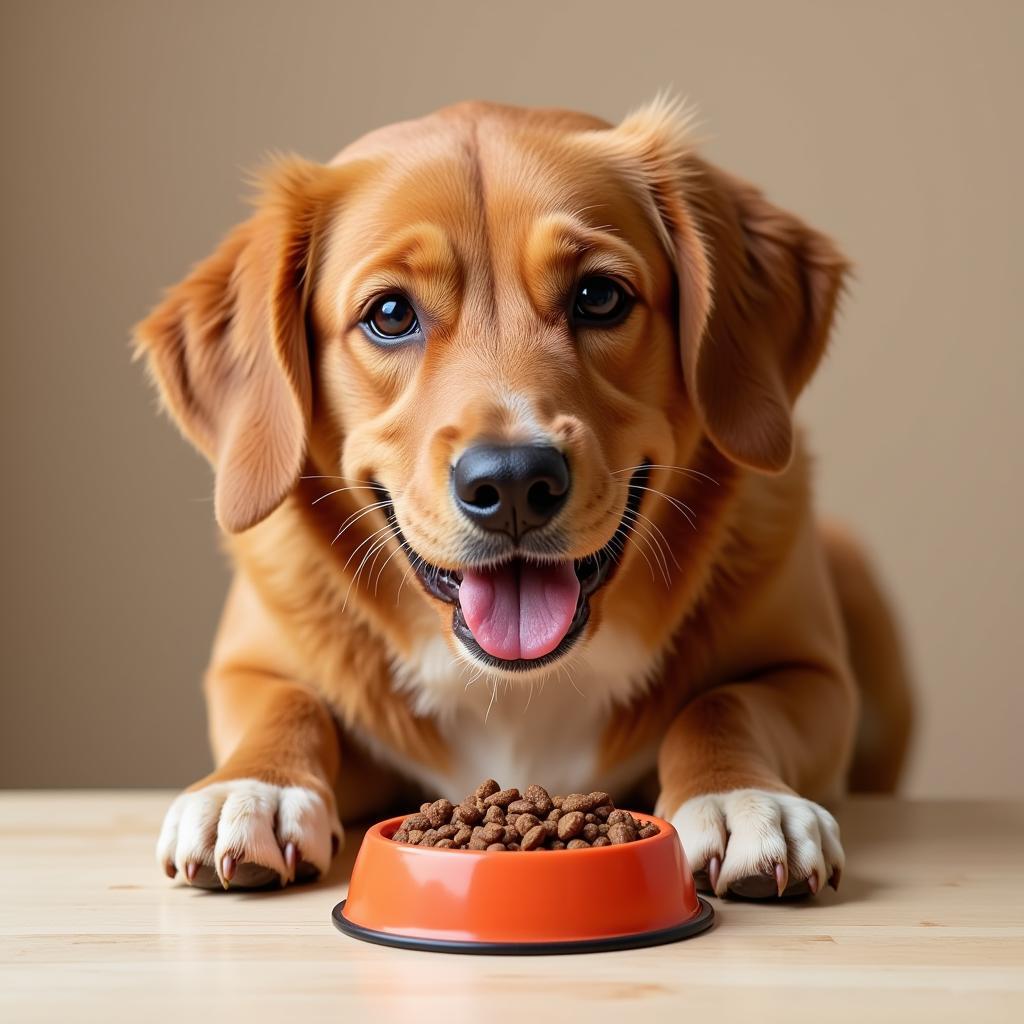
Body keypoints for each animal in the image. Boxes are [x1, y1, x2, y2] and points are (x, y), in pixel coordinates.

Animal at [136, 97, 913, 897]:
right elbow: (286, 703)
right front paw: (251, 787)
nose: (511, 481)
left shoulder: (814, 677)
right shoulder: (243, 670)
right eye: (390, 314)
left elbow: (725, 702)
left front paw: (739, 795)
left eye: (599, 296)